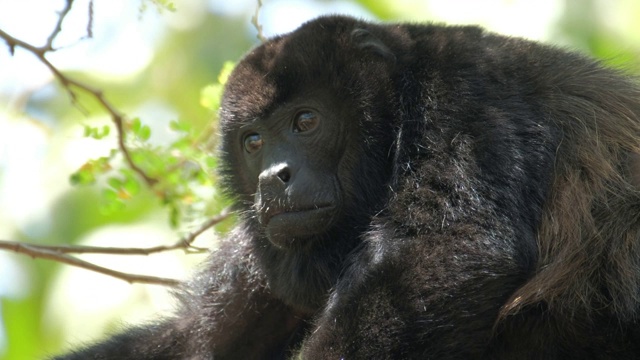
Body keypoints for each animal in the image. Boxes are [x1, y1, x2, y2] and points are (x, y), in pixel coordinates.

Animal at [53, 15, 640, 358]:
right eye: (252, 141)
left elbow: (453, 249)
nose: (272, 178)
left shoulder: (463, 96)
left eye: (306, 121)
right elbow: (196, 337)